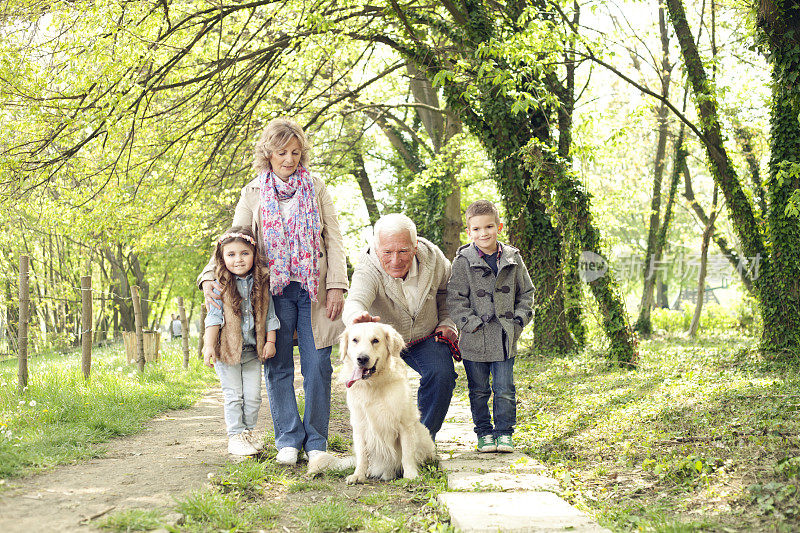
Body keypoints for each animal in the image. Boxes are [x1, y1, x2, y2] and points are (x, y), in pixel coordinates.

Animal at [338, 320, 438, 482]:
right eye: (355, 340)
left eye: (375, 340)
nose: (362, 358)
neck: (372, 385)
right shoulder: (359, 425)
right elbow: (362, 455)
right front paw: (358, 475)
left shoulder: (405, 424)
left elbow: (407, 454)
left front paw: (411, 475)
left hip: (423, 435)